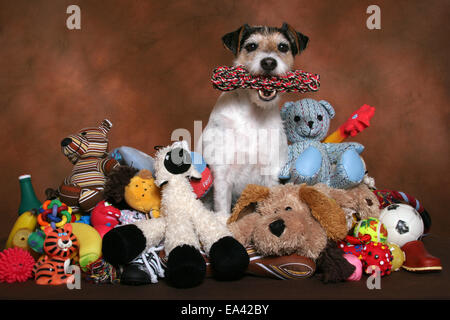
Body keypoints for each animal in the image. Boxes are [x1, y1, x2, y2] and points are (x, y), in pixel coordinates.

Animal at [199, 23, 312, 218]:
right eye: (251, 46)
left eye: (283, 47)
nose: (269, 62)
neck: (253, 114)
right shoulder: (222, 175)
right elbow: (222, 212)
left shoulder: (271, 173)